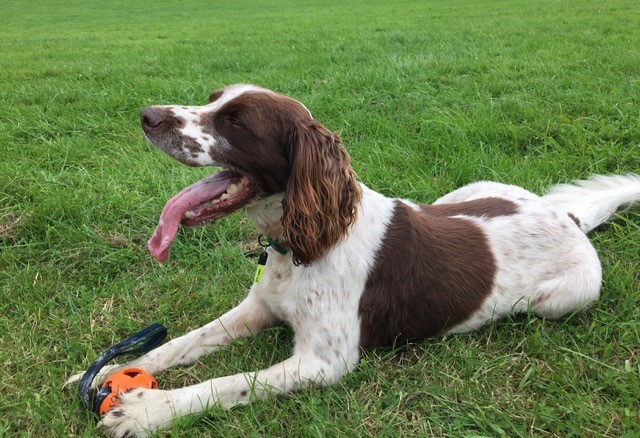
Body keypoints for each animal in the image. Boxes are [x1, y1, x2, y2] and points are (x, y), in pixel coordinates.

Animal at [66, 84, 640, 436]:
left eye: (236, 120)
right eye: (211, 100)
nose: (147, 116)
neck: (300, 247)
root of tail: (567, 216)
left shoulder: (325, 361)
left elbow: (228, 383)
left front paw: (147, 411)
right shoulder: (257, 308)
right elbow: (183, 343)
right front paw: (107, 370)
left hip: (564, 298)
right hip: (469, 191)